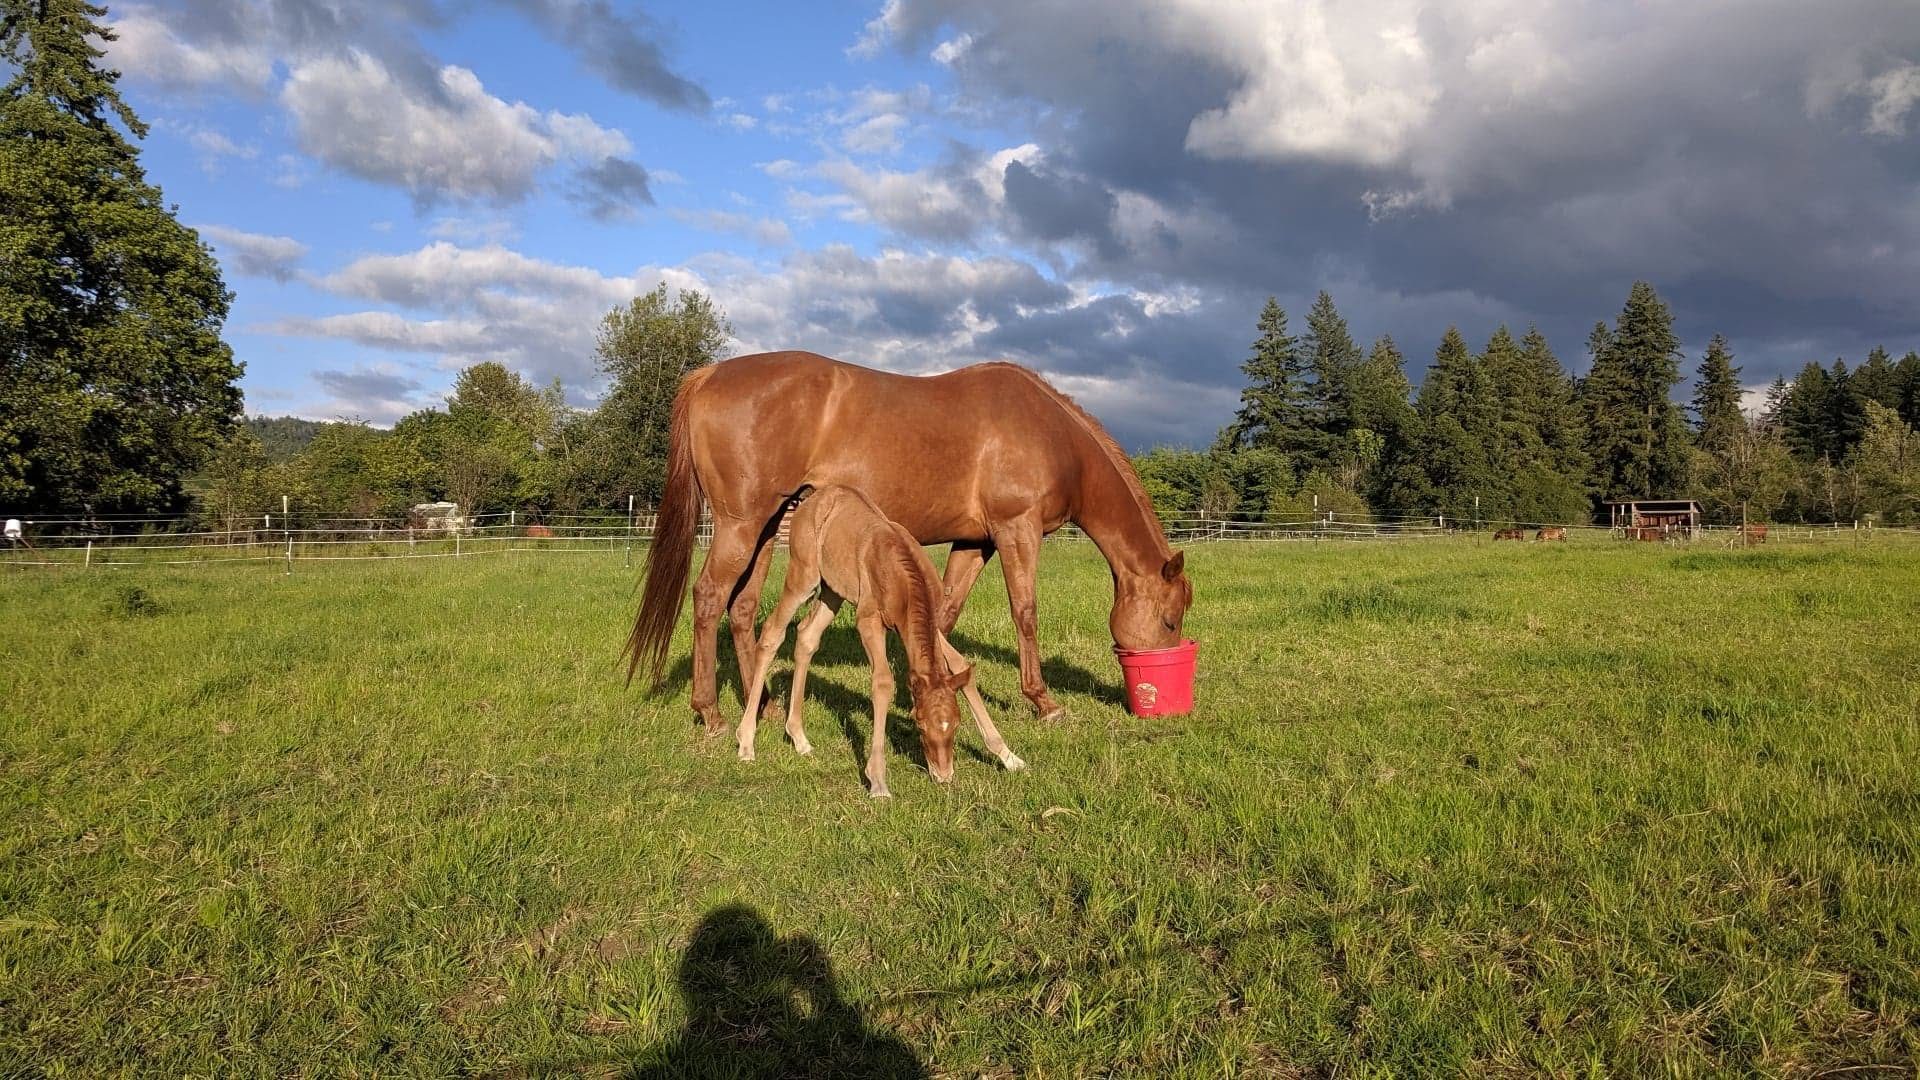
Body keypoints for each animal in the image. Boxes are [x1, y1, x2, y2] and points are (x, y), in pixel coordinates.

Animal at [625, 351, 1193, 736]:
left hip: (764, 529)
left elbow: (945, 612)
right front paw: (1043, 701)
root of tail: (708, 375)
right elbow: (1025, 612)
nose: (1158, 688)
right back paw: (712, 713)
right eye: (1169, 621)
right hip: (740, 526)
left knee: (742, 609)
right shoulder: (1017, 530)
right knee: (708, 599)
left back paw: (759, 705)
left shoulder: (975, 542)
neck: (1051, 435)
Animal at [737, 484, 1026, 797]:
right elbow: (883, 681)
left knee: (807, 637)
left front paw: (1009, 756)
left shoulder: (921, 625)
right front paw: (877, 781)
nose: (944, 776)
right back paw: (746, 742)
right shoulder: (869, 621)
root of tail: (811, 499)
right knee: (772, 633)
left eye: (956, 725)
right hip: (803, 575)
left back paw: (799, 738)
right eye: (919, 726)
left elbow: (961, 666)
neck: (902, 574)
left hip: (833, 591)